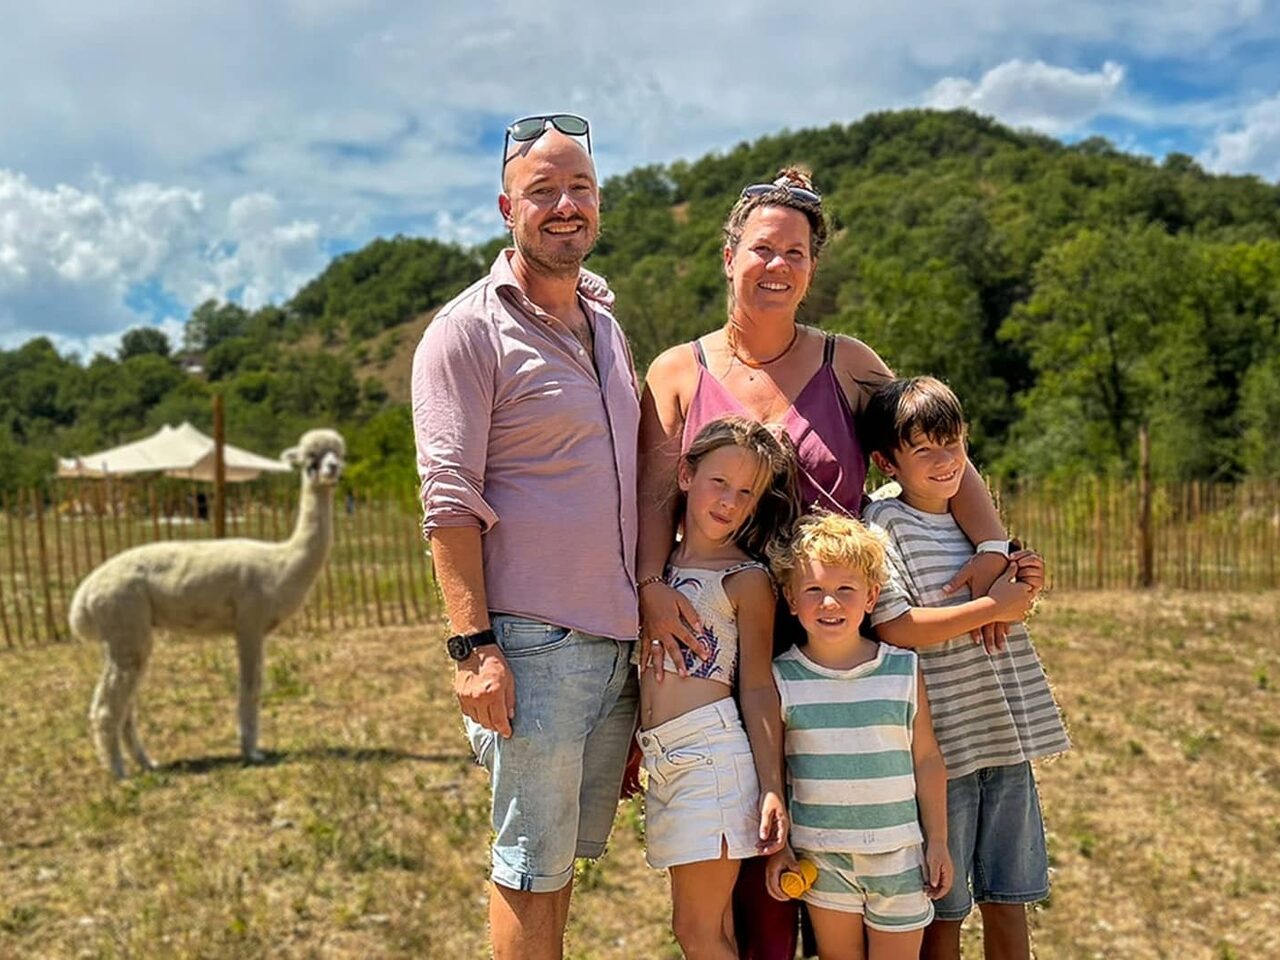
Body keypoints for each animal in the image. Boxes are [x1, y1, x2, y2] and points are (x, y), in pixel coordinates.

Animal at [69, 428, 345, 778]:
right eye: (311, 458)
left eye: (339, 453)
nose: (333, 469)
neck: (281, 563)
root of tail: (83, 598)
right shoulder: (250, 621)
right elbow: (251, 686)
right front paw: (252, 752)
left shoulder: (251, 626)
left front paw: (250, 748)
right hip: (123, 618)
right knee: (108, 704)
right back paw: (119, 772)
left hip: (130, 634)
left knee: (126, 702)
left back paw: (147, 762)